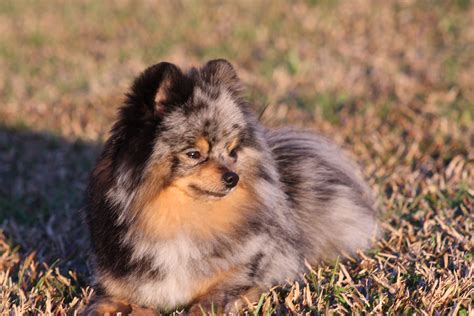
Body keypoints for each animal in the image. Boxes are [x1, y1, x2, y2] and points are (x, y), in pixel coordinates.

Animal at [85, 58, 380, 314]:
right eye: (194, 154)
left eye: (232, 152)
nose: (232, 177)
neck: (182, 219)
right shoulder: (117, 287)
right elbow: (100, 305)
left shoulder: (238, 279)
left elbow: (209, 302)